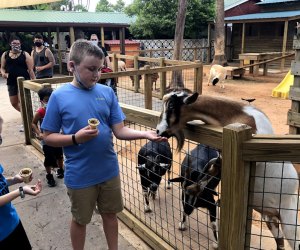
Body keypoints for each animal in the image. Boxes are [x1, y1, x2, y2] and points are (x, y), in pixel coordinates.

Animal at [156, 90, 298, 250]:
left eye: (171, 106)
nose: (158, 130)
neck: (243, 115)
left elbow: (212, 172)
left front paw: (193, 190)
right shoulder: (220, 154)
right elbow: (213, 167)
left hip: (289, 217)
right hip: (270, 217)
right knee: (280, 240)